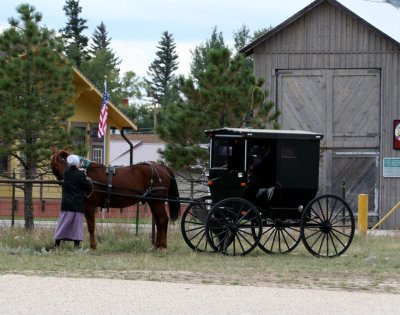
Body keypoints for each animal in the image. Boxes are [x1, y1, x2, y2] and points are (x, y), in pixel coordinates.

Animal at [50, 149, 180, 251]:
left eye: (55, 165)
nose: (61, 180)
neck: (87, 173)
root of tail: (162, 166)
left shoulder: (90, 206)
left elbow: (91, 227)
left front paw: (92, 246)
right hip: (153, 201)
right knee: (158, 221)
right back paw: (156, 246)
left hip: (157, 201)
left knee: (163, 220)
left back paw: (163, 246)